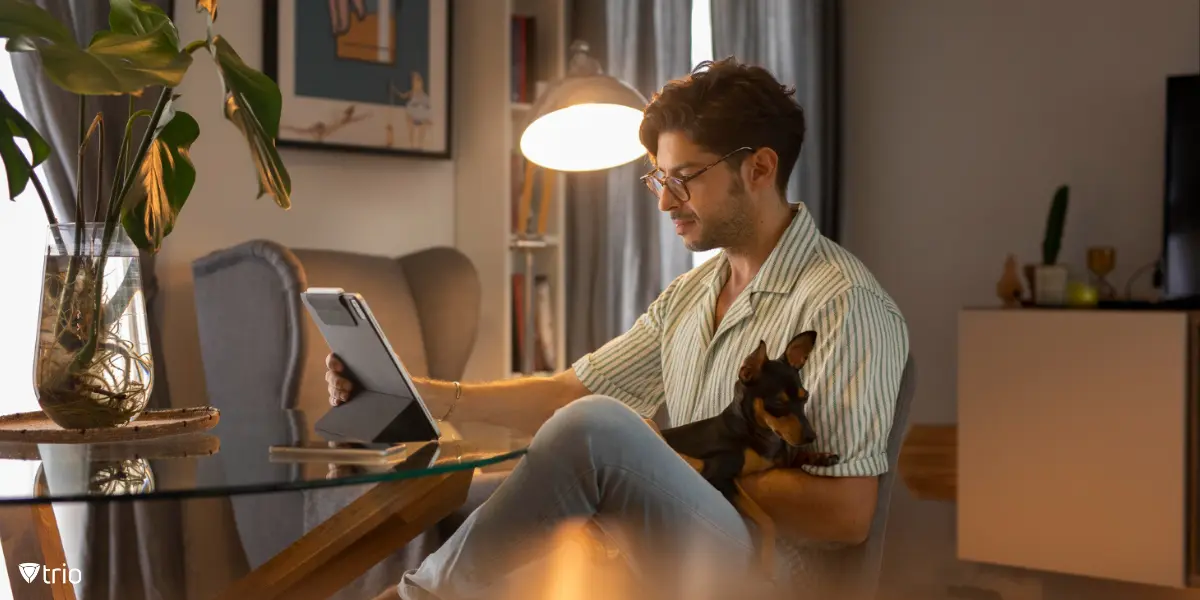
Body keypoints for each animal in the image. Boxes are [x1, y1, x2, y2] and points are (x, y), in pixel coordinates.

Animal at [662, 333, 840, 576]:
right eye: (778, 403)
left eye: (805, 397)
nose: (811, 436)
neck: (758, 434)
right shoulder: (719, 476)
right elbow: (767, 520)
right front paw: (766, 561)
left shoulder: (778, 461)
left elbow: (794, 458)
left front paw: (820, 456)